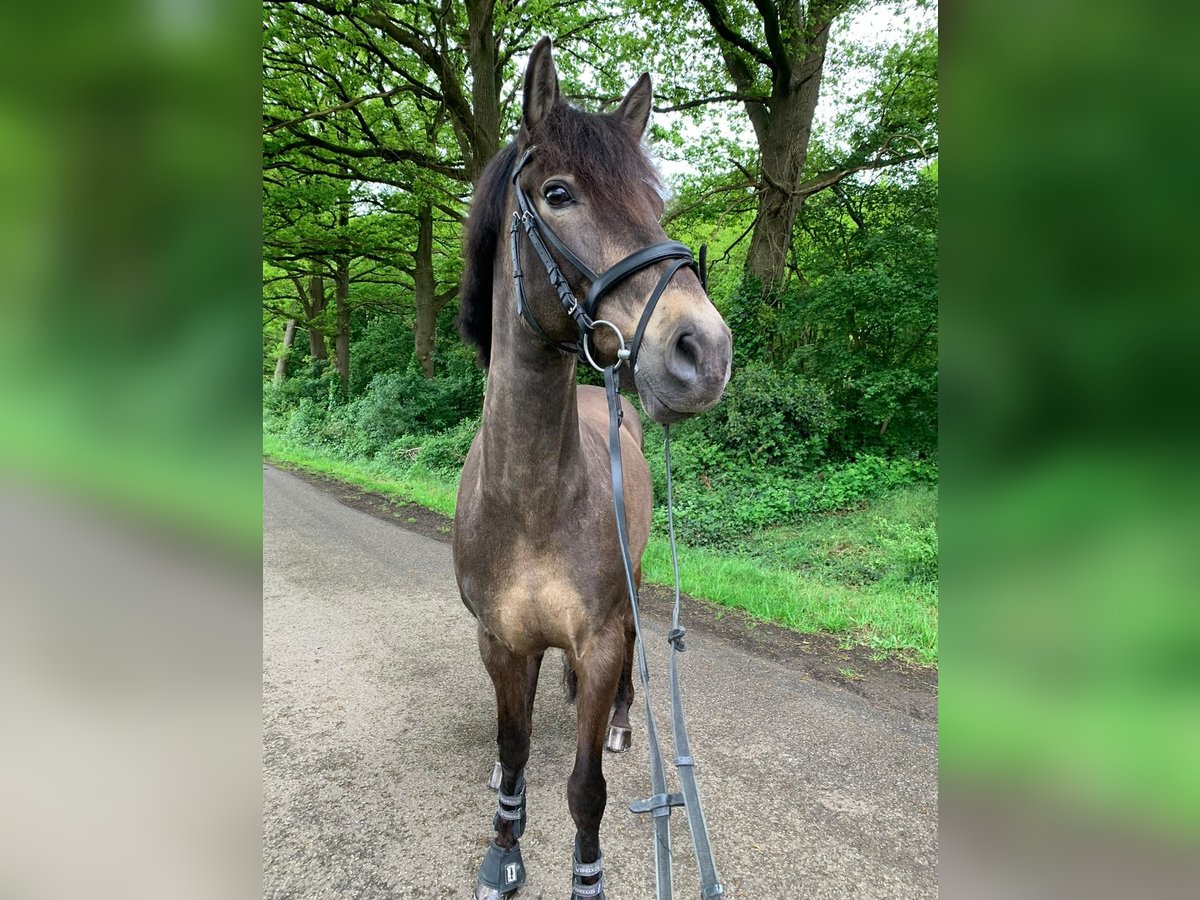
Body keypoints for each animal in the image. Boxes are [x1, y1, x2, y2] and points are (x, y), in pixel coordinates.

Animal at [452, 37, 733, 900]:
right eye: (558, 192)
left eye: (655, 203)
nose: (704, 350)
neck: (532, 499)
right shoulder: (500, 642)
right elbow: (512, 748)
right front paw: (503, 849)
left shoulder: (604, 638)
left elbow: (586, 790)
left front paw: (586, 876)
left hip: (637, 585)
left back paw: (617, 723)